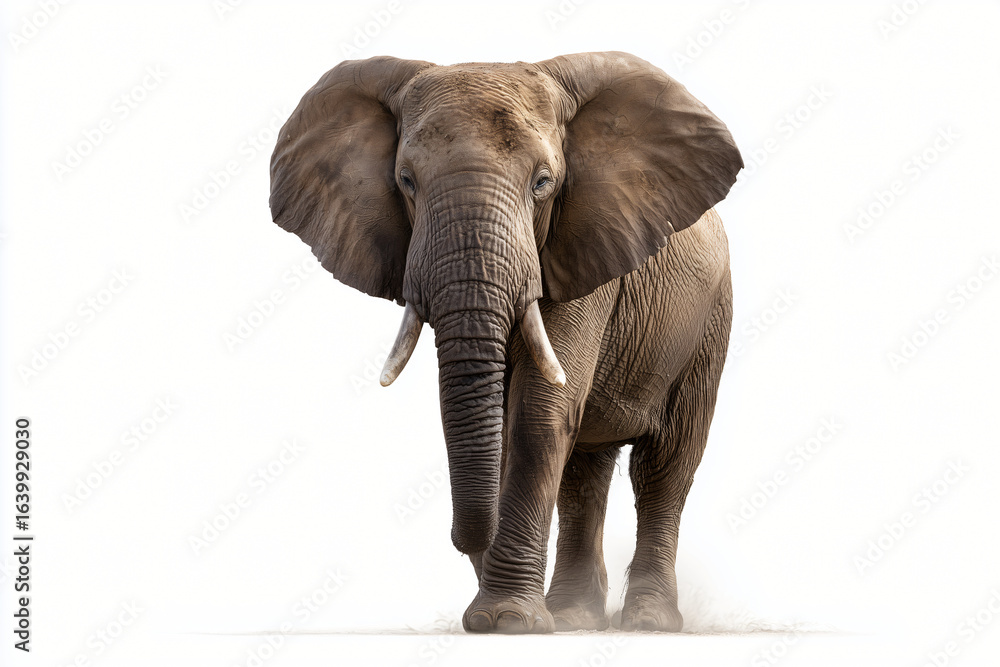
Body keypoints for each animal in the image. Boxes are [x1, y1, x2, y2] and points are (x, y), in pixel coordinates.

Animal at [269, 51, 742, 634]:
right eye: (405, 180)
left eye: (543, 183)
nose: (462, 536)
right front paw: (506, 618)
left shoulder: (578, 250)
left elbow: (538, 411)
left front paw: (509, 621)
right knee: (585, 473)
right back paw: (576, 618)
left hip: (710, 317)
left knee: (666, 462)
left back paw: (647, 621)